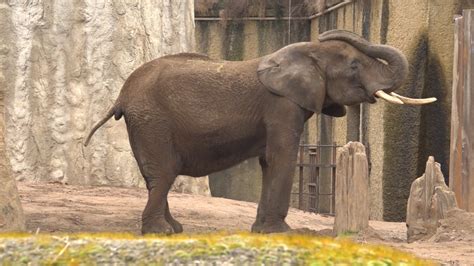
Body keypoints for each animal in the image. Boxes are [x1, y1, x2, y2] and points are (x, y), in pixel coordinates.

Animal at [84, 29, 434, 235]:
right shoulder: (282, 105)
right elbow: (282, 157)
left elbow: (269, 161)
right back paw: (162, 232)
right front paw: (285, 233)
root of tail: (122, 95)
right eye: (353, 67)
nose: (324, 32)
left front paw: (261, 230)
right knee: (163, 174)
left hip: (146, 123)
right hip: (152, 121)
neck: (305, 52)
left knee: (156, 177)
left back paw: (175, 228)